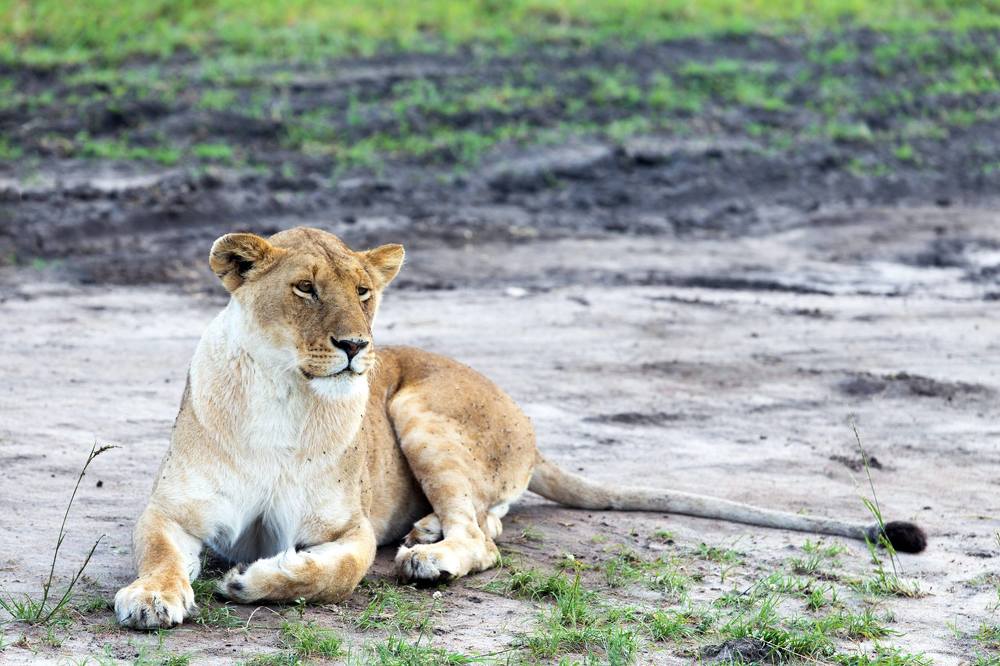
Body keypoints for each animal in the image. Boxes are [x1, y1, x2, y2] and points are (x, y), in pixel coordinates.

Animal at [114, 227, 926, 629]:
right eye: (306, 289)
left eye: (365, 291)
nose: (355, 348)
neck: (285, 394)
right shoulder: (171, 511)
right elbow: (158, 552)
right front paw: (152, 599)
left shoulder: (347, 529)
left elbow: (334, 572)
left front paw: (255, 580)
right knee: (487, 521)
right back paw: (425, 533)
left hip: (418, 408)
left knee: (484, 538)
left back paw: (430, 554)